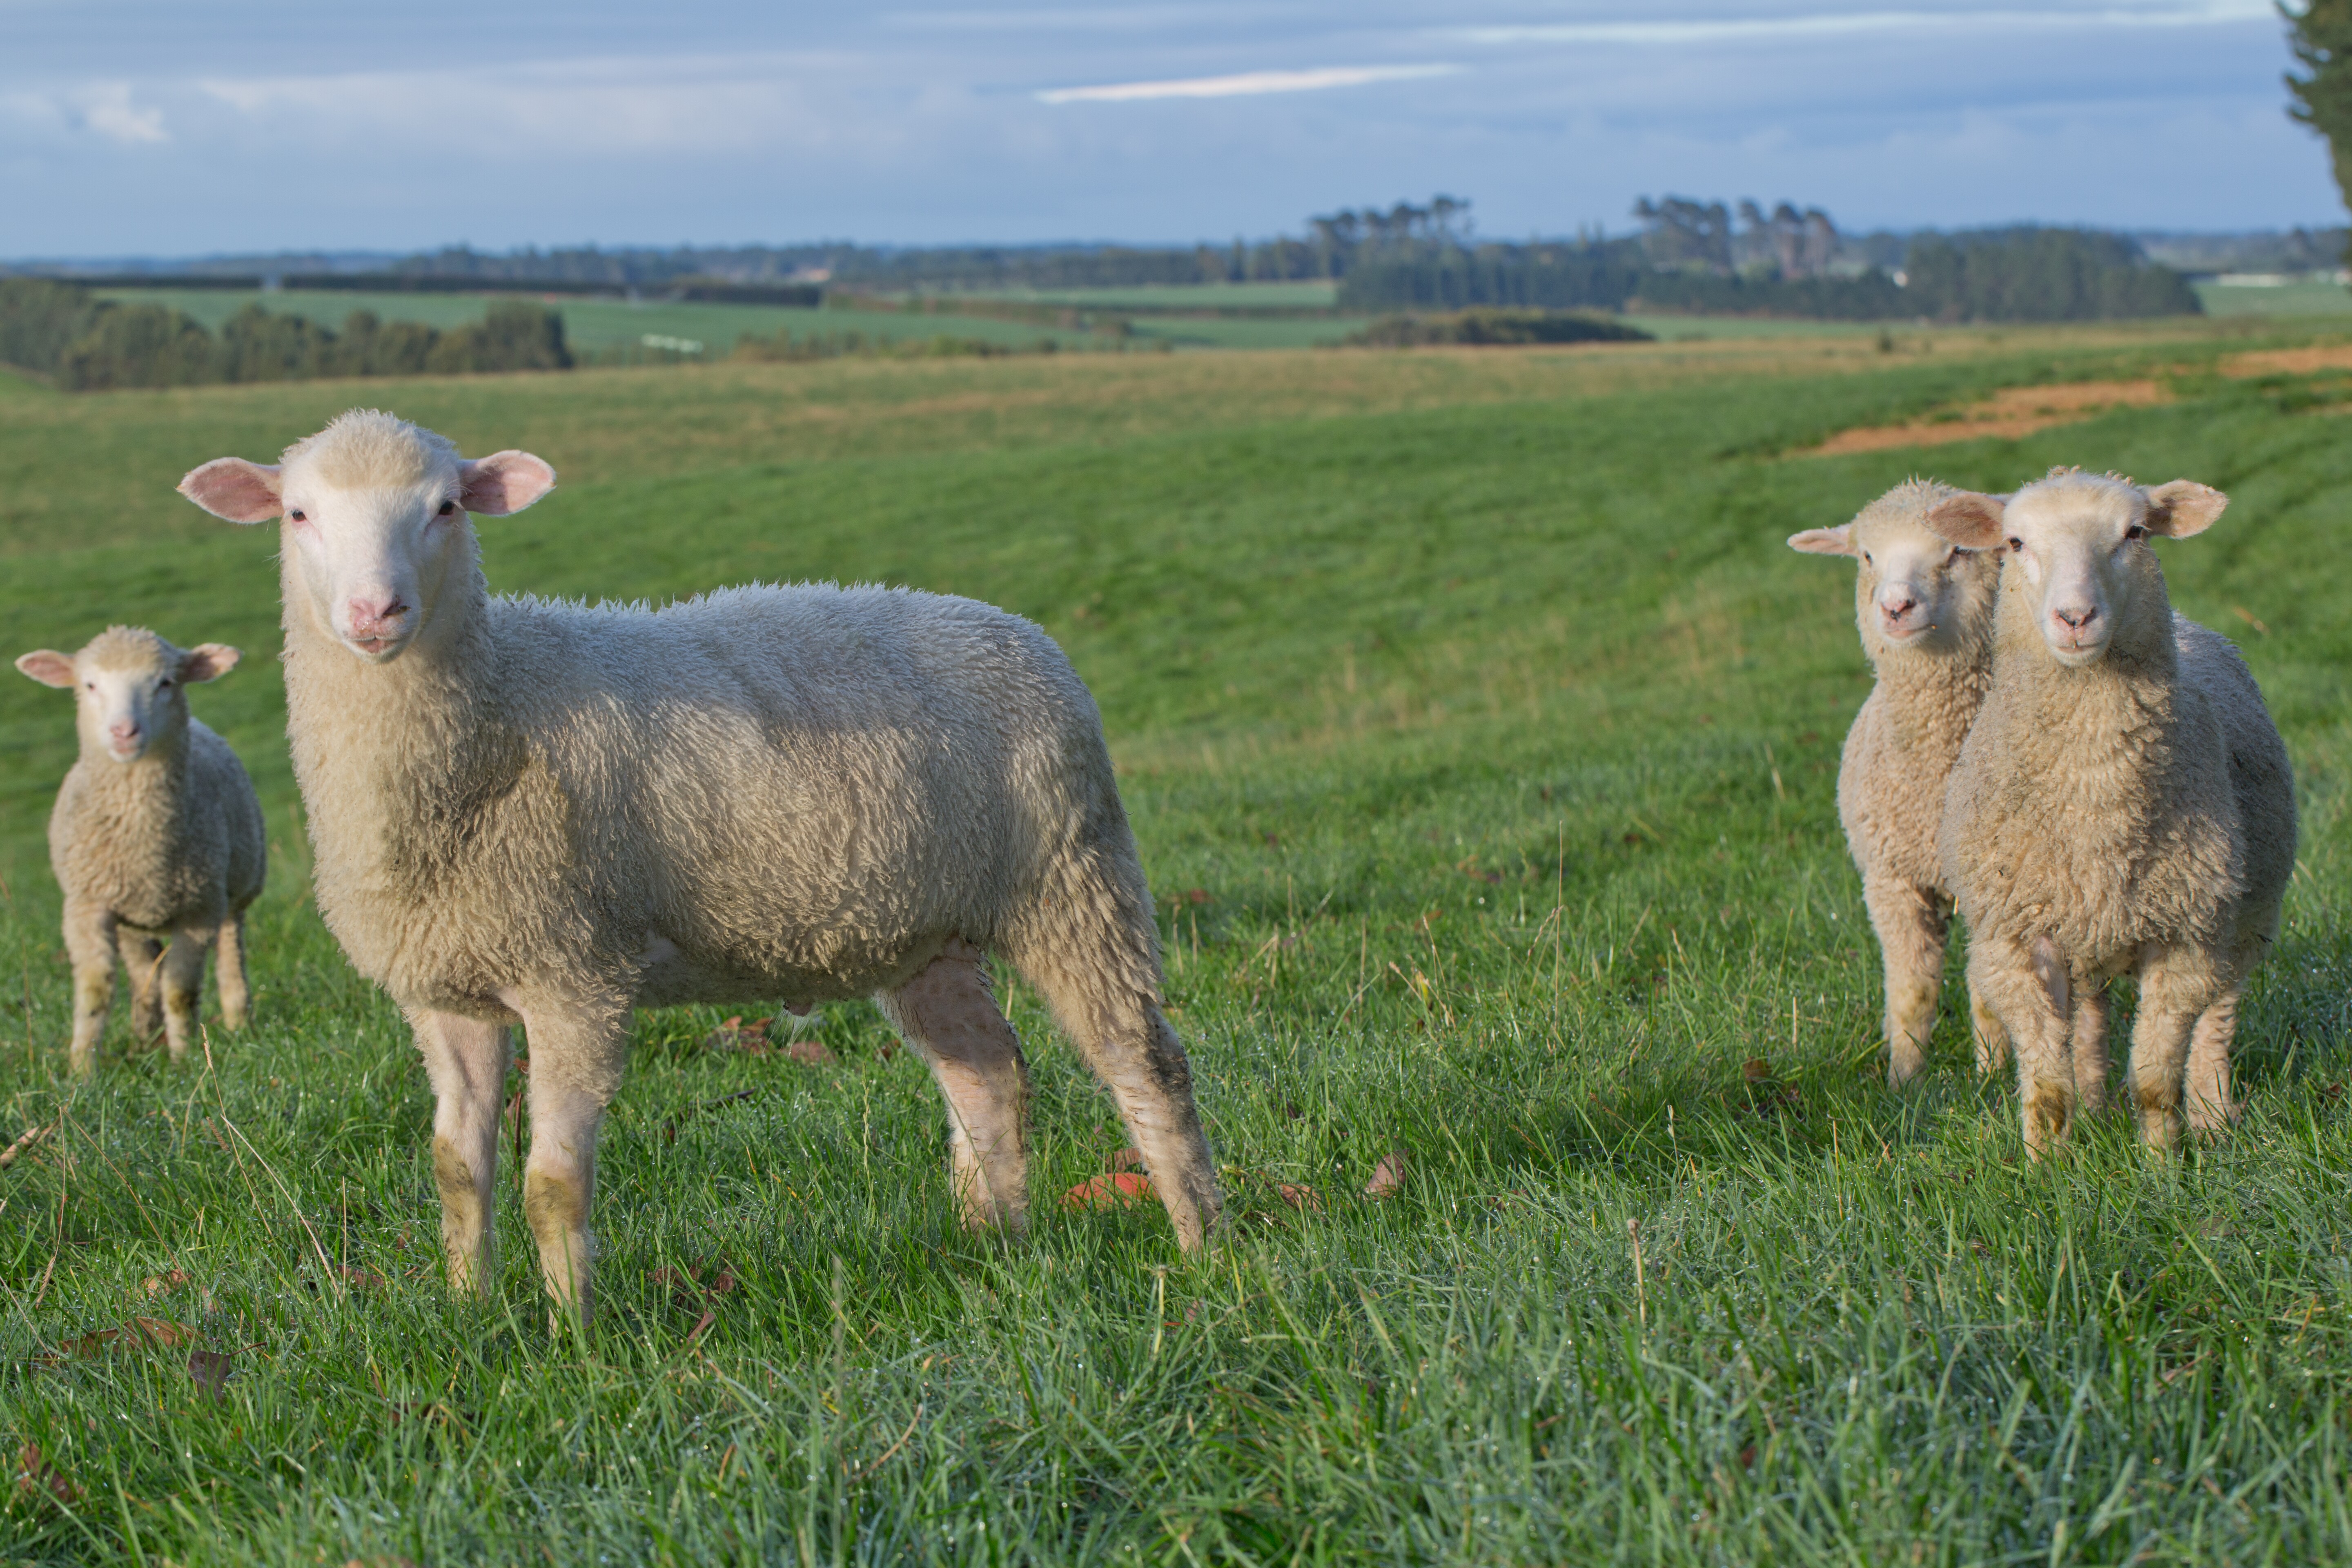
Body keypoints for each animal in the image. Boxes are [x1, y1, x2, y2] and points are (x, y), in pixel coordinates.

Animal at [13, 630, 265, 1081]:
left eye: (164, 683)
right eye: (90, 685)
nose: (124, 732)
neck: (141, 843)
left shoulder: (198, 911)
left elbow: (181, 992)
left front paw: (184, 1062)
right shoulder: (87, 905)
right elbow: (96, 989)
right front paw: (82, 1071)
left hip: (234, 896)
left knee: (230, 959)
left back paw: (238, 1023)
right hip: (131, 919)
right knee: (145, 974)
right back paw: (144, 1038)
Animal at [174, 411, 1223, 1316]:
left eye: (444, 507)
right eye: (298, 514)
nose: (374, 611)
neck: (499, 702)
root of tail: (1016, 629)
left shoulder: (576, 976)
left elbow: (552, 1183)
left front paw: (575, 1335)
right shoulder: (447, 990)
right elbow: (457, 1170)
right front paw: (470, 1311)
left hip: (1071, 879)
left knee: (1144, 1062)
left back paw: (1202, 1242)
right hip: (926, 935)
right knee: (987, 1073)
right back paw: (992, 1242)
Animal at [1787, 484, 2013, 1086]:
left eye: (1958, 550)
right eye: (1867, 556)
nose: (1894, 607)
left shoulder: (1991, 887)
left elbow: (1988, 992)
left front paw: (1992, 1076)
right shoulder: (1891, 881)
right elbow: (1912, 991)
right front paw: (1905, 1082)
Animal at [1929, 465, 2295, 1152]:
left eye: (2135, 533)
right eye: (2015, 542)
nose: (2076, 617)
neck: (2094, 805)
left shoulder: (2186, 939)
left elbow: (2154, 1080)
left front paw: (2163, 1163)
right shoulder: (2011, 940)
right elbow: (2048, 1087)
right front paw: (2046, 1162)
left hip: (2245, 918)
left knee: (2220, 1014)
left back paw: (2211, 1114)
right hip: (2085, 936)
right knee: (2090, 1020)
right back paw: (2095, 1108)